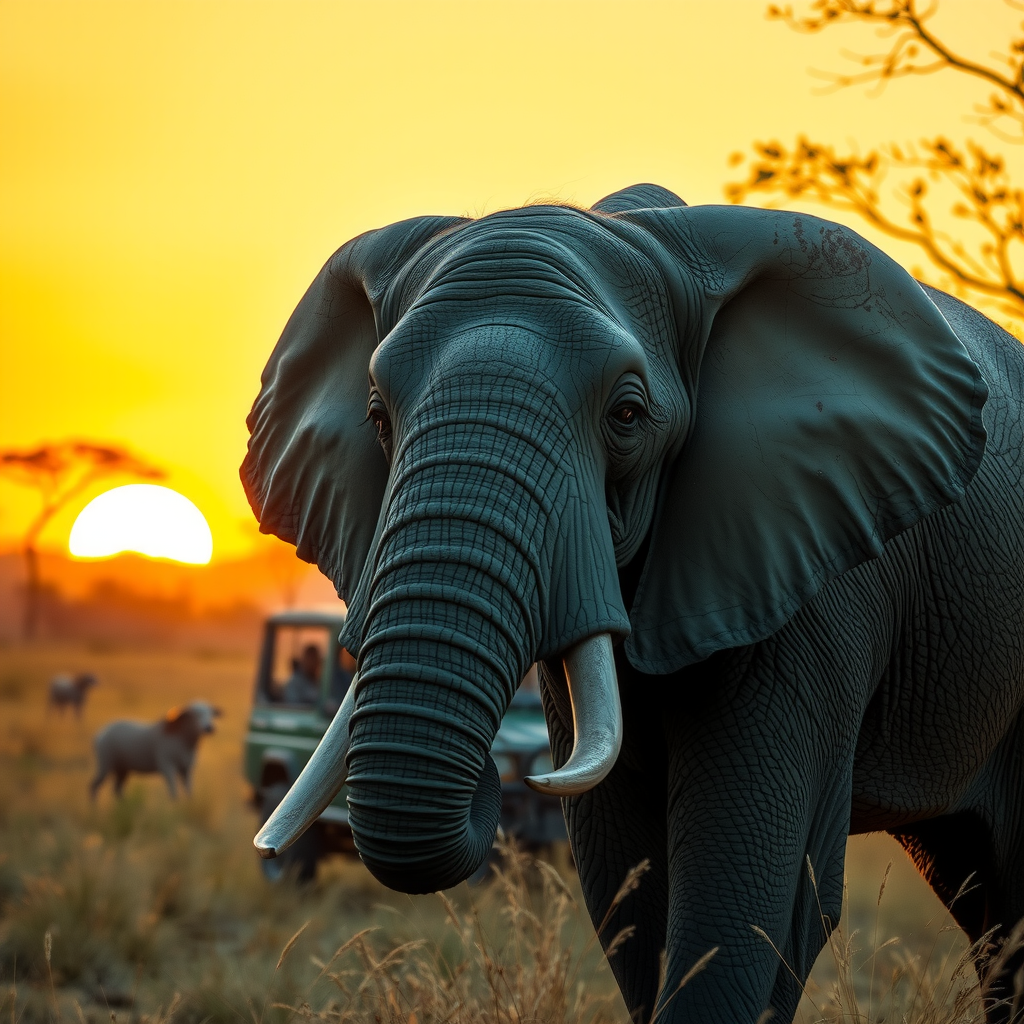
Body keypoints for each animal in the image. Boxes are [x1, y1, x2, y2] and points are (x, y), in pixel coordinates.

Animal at [242, 183, 1024, 1023]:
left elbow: (751, 893)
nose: (506, 781)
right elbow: (625, 873)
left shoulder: (811, 568)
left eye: (626, 417)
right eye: (379, 420)